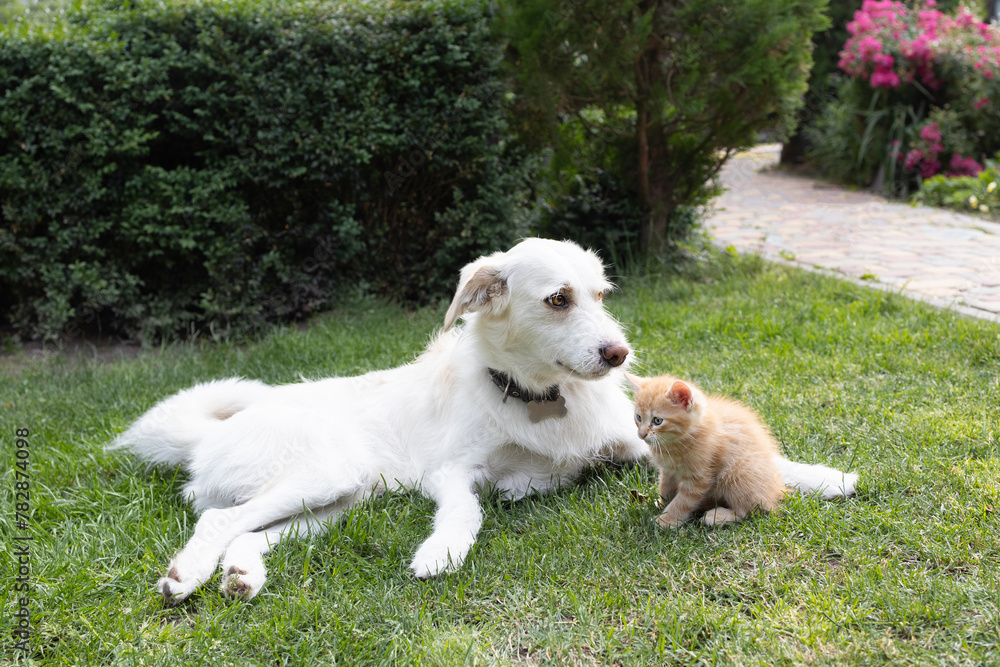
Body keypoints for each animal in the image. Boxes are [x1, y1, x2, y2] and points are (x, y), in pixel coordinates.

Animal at [624, 374, 788, 528]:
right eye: (638, 417)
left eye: (657, 421)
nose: (641, 434)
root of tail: (776, 491)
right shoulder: (668, 471)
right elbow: (665, 486)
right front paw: (662, 503)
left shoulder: (699, 478)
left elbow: (683, 501)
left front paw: (666, 520)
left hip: (737, 474)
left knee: (750, 511)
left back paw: (717, 516)